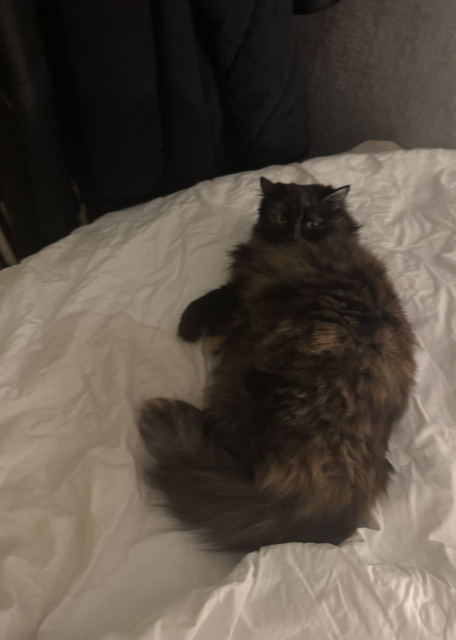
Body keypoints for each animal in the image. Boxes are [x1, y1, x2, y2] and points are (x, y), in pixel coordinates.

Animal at [138, 177, 416, 553]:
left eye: (312, 223)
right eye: (281, 218)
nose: (293, 236)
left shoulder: (246, 287)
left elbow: (215, 300)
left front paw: (198, 330)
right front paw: (210, 334)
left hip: (244, 385)